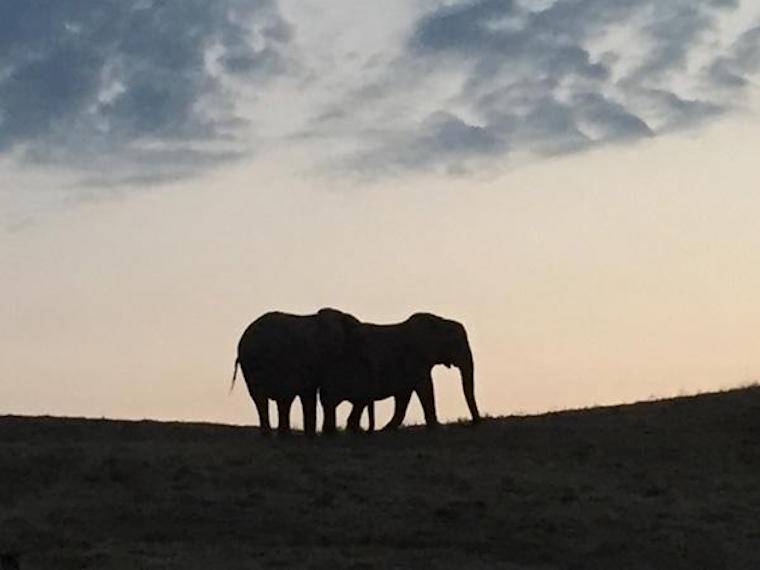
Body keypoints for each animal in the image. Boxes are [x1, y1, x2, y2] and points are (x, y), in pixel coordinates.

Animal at [320, 312, 481, 433]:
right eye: (456, 343)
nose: (473, 423)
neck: (439, 321)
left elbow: (404, 395)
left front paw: (387, 429)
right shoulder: (416, 361)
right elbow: (424, 388)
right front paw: (437, 427)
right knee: (335, 403)